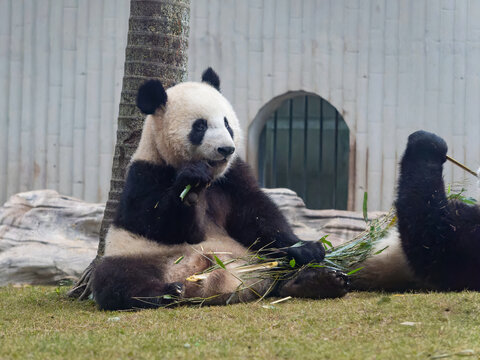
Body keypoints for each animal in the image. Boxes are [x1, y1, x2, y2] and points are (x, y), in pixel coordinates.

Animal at [92, 69, 346, 310]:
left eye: (227, 123)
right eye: (200, 126)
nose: (226, 149)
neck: (210, 178)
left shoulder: (233, 178)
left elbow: (258, 217)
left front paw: (307, 248)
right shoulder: (144, 174)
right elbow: (154, 222)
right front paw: (189, 186)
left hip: (252, 257)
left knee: (279, 264)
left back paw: (316, 280)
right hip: (139, 254)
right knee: (116, 279)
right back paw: (165, 293)